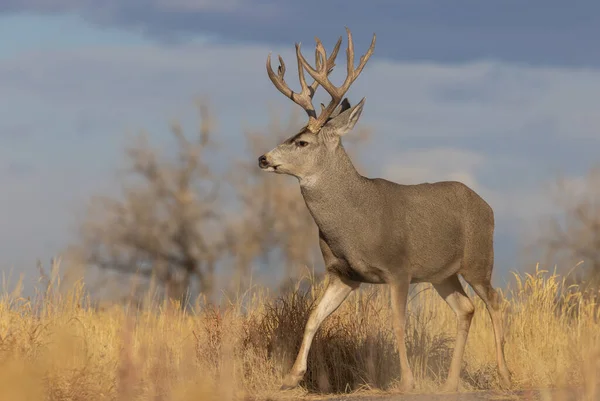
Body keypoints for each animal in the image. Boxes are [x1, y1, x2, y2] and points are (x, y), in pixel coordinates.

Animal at [258, 27, 510, 390]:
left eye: (302, 142)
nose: (263, 158)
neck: (355, 224)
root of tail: (488, 206)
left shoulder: (399, 268)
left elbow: (398, 323)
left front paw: (407, 381)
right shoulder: (343, 273)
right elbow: (313, 317)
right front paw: (291, 377)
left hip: (479, 260)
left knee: (496, 302)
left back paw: (504, 373)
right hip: (443, 274)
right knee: (465, 308)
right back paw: (450, 383)